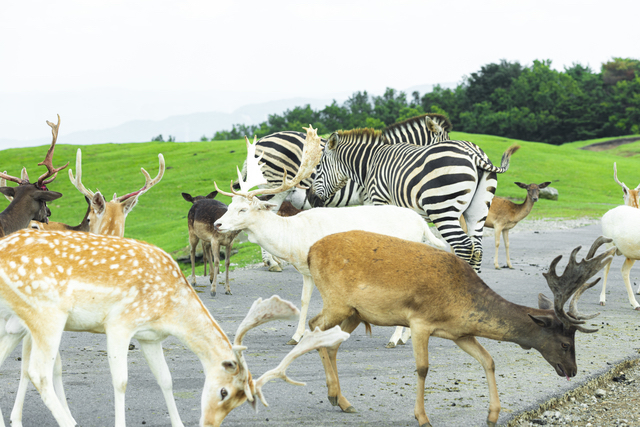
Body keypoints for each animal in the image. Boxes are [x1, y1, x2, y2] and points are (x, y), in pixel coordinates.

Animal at [0, 229, 350, 427]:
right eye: (223, 391)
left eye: (239, 402)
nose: (209, 423)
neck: (170, 309)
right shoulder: (120, 322)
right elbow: (121, 382)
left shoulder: (150, 337)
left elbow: (166, 381)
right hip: (45, 313)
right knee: (38, 371)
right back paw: (67, 422)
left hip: (18, 321)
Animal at [212, 126, 448, 344]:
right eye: (230, 205)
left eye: (243, 209)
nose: (217, 223)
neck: (294, 237)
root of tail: (420, 222)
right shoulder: (306, 272)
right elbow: (304, 300)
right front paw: (295, 336)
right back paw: (405, 336)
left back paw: (395, 338)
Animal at [308, 231, 616, 427]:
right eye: (565, 343)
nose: (573, 369)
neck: (458, 305)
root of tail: (310, 252)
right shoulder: (420, 321)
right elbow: (423, 369)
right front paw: (423, 418)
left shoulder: (461, 334)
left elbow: (488, 360)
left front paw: (492, 416)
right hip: (336, 300)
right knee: (313, 328)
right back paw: (335, 395)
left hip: (353, 312)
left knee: (331, 343)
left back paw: (341, 400)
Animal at [310, 128, 520, 274]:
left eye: (318, 167)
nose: (311, 199)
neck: (370, 164)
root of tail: (473, 152)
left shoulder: (379, 201)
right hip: (477, 211)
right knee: (477, 249)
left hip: (443, 210)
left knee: (464, 246)